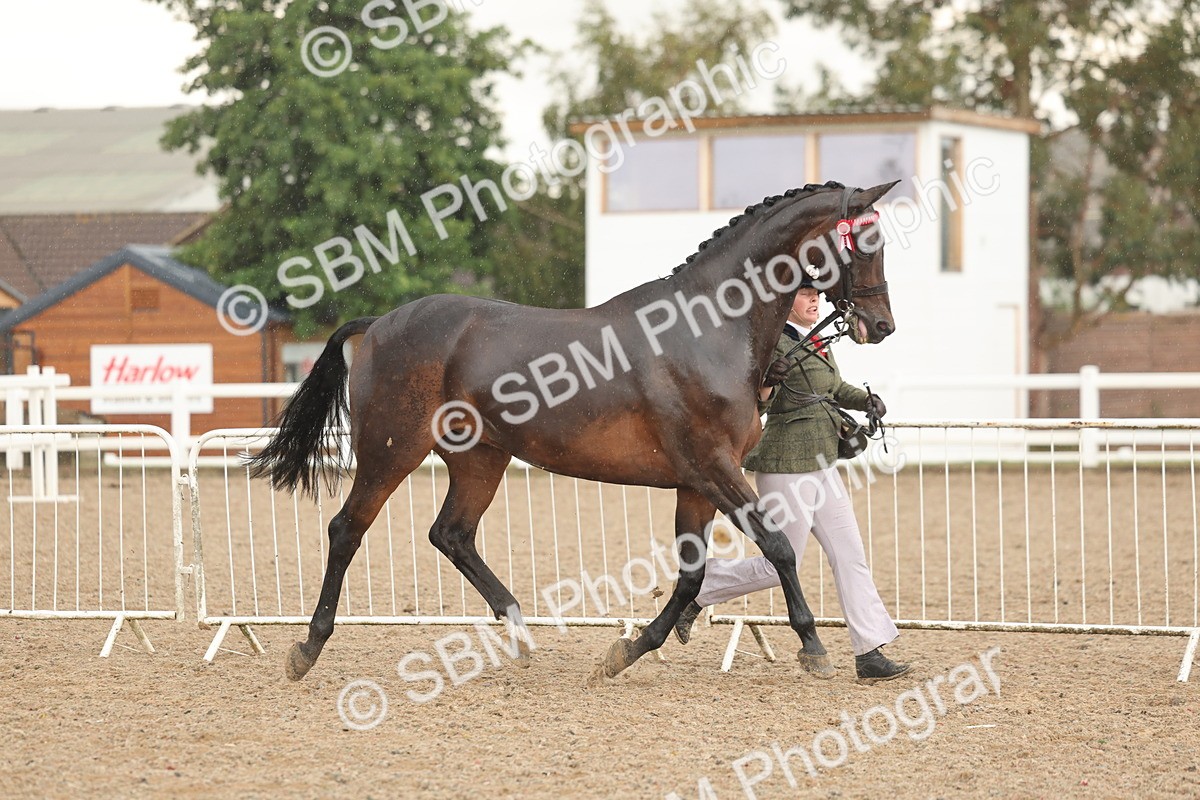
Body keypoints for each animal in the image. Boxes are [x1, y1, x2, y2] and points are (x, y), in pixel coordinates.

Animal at [247, 179, 900, 682]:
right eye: (863, 243)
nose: (881, 326)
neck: (708, 329)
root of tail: (382, 322)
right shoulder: (714, 467)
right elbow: (779, 546)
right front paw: (813, 646)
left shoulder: (696, 482)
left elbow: (692, 576)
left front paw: (628, 650)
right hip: (392, 451)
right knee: (347, 530)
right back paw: (307, 648)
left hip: (481, 458)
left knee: (451, 534)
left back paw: (518, 632)